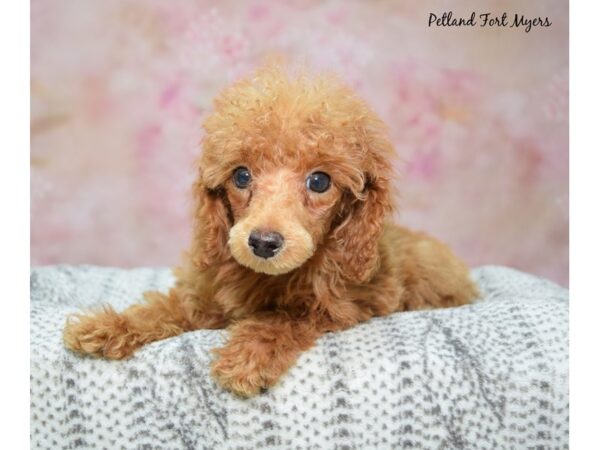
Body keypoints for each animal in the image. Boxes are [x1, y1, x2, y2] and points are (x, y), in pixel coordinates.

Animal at [63, 65, 480, 396]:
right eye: (241, 176)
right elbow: (167, 307)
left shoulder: (341, 307)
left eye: (319, 181)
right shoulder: (206, 295)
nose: (263, 242)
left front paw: (247, 356)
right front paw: (105, 325)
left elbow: (281, 319)